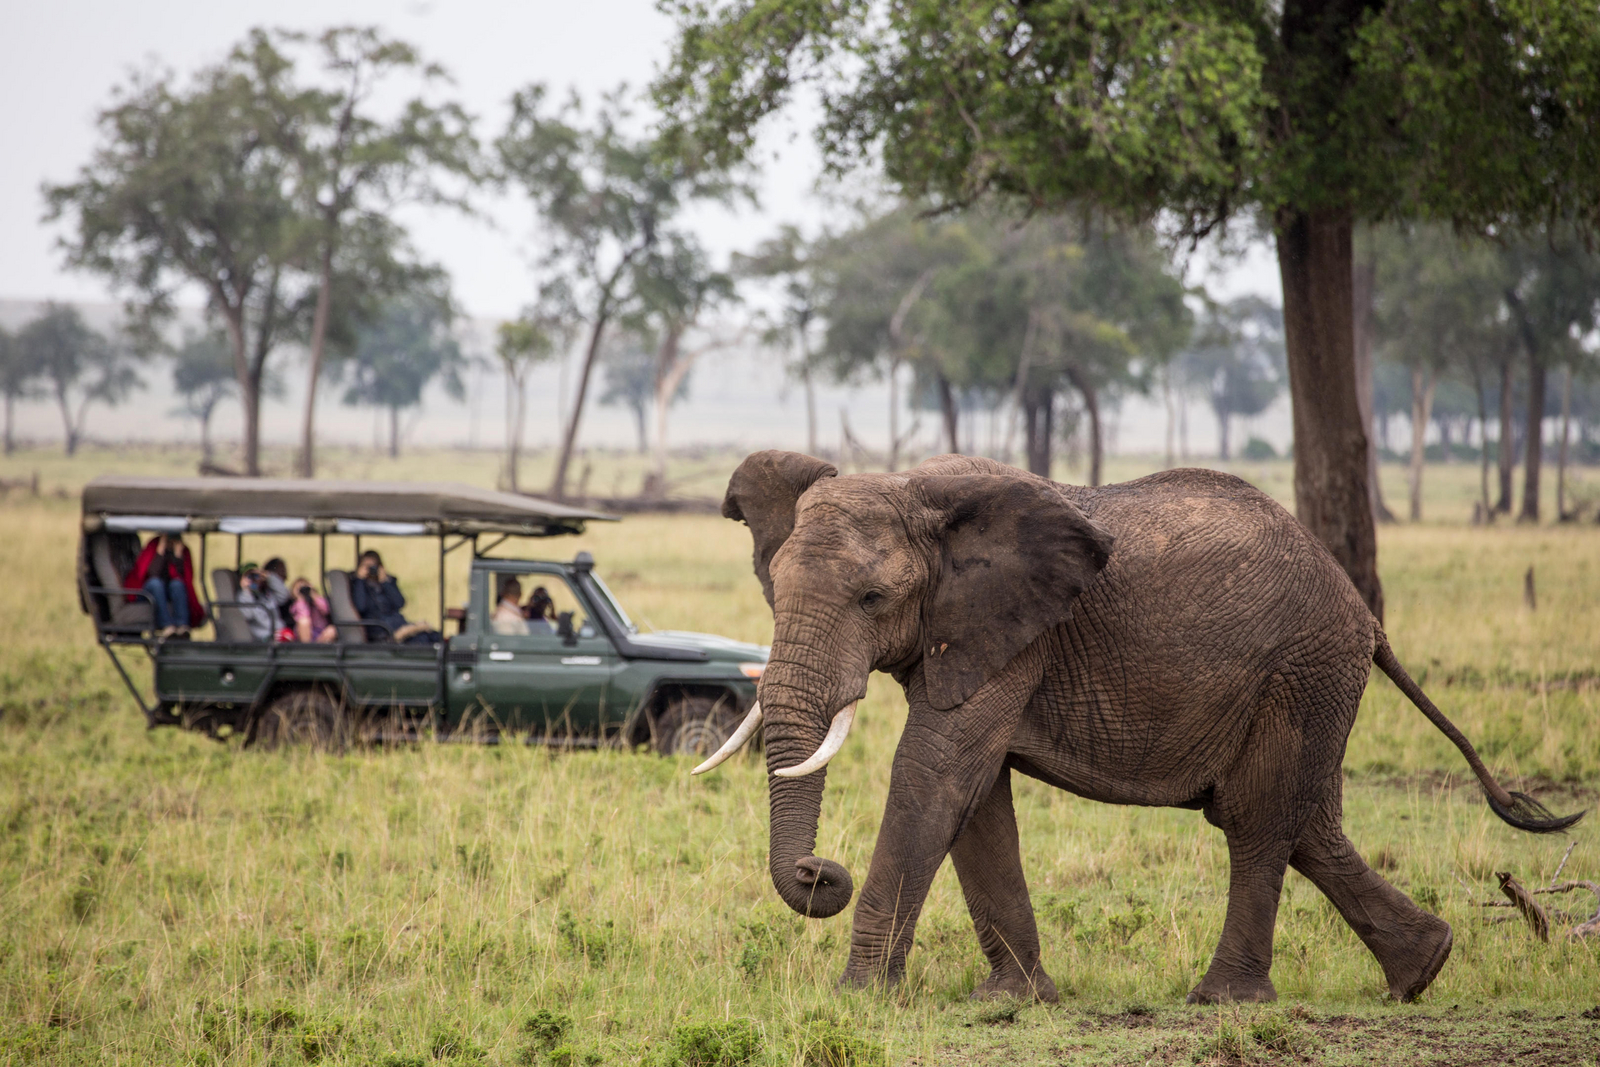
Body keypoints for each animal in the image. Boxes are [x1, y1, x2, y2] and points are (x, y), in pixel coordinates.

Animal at [693, 450, 1581, 1005]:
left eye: (874, 599)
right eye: (773, 585)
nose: (817, 870)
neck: (918, 487)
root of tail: (1364, 614)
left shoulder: (1019, 633)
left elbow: (933, 774)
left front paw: (858, 998)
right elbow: (975, 796)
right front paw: (1014, 999)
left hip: (1299, 672)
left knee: (1258, 820)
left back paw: (1225, 998)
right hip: (1312, 684)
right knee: (1310, 825)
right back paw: (1421, 971)